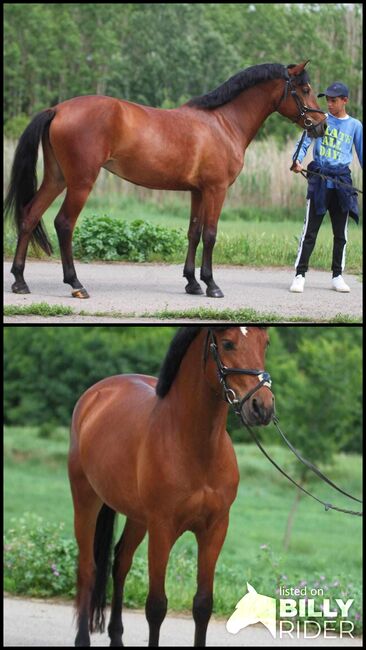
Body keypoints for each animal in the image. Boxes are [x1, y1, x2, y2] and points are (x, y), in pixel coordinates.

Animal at [5, 59, 326, 298]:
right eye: (305, 88)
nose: (321, 126)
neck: (223, 123)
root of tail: (58, 109)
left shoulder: (198, 191)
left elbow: (194, 232)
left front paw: (193, 283)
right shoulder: (216, 190)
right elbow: (210, 234)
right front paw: (212, 285)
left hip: (56, 178)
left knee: (30, 215)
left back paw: (20, 281)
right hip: (81, 183)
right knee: (64, 224)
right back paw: (76, 284)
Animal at [68, 324, 274, 644]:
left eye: (265, 343)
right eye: (228, 344)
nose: (262, 407)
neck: (195, 446)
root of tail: (96, 394)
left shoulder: (215, 529)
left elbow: (203, 605)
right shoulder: (162, 529)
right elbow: (156, 606)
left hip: (137, 518)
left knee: (120, 563)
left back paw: (117, 636)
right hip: (86, 500)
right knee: (88, 567)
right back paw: (82, 639)